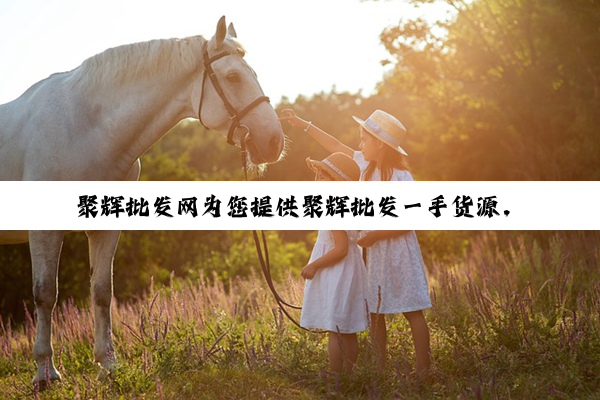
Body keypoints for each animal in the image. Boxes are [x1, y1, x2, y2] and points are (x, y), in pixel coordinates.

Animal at [0, 230, 120, 386]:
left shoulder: (104, 233)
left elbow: (102, 291)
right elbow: (46, 292)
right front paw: (46, 373)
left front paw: (109, 365)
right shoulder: (44, 234)